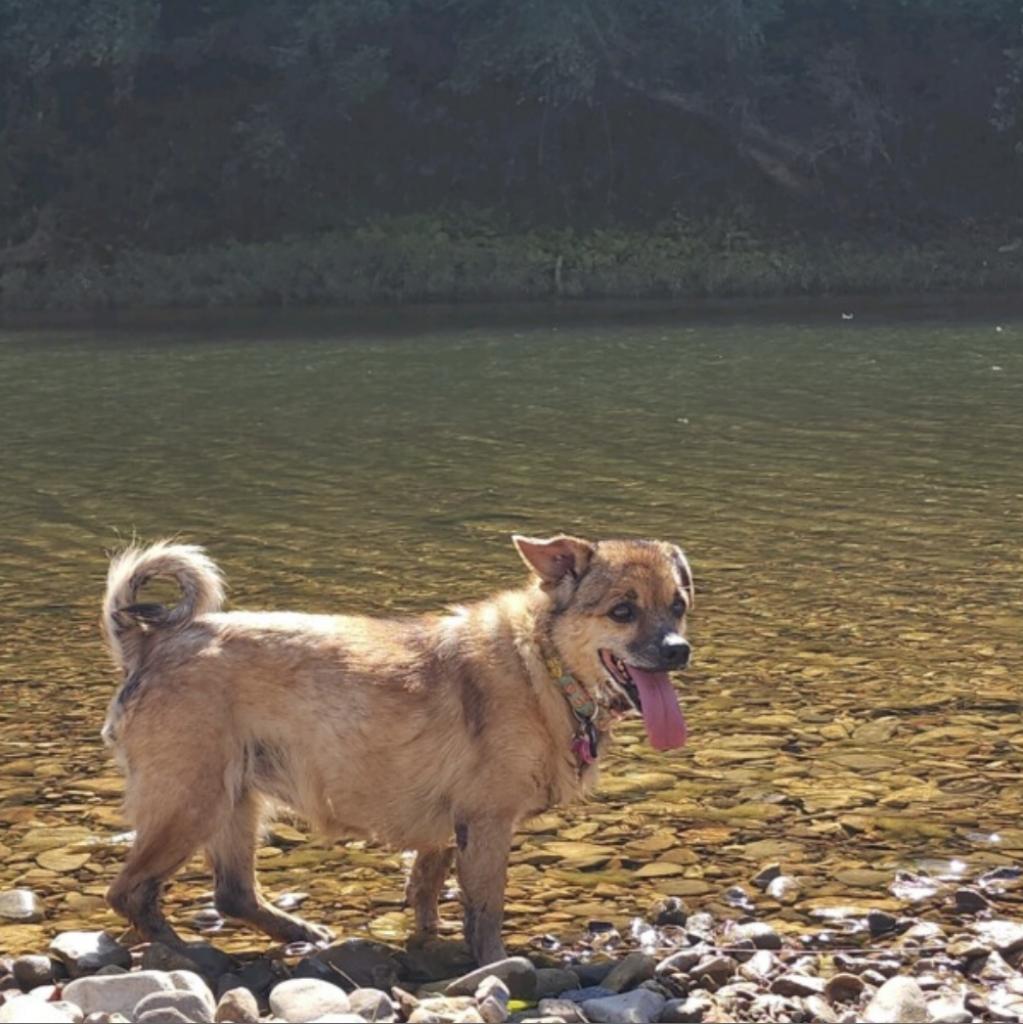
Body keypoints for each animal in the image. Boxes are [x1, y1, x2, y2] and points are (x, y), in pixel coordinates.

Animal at [101, 532, 696, 962]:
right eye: (622, 611)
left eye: (678, 606)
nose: (678, 650)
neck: (544, 664)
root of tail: (149, 644)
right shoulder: (487, 823)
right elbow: (486, 907)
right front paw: (494, 962)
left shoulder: (448, 830)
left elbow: (428, 886)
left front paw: (433, 935)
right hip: (191, 802)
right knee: (130, 891)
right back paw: (178, 950)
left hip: (237, 801)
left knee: (231, 892)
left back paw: (296, 931)